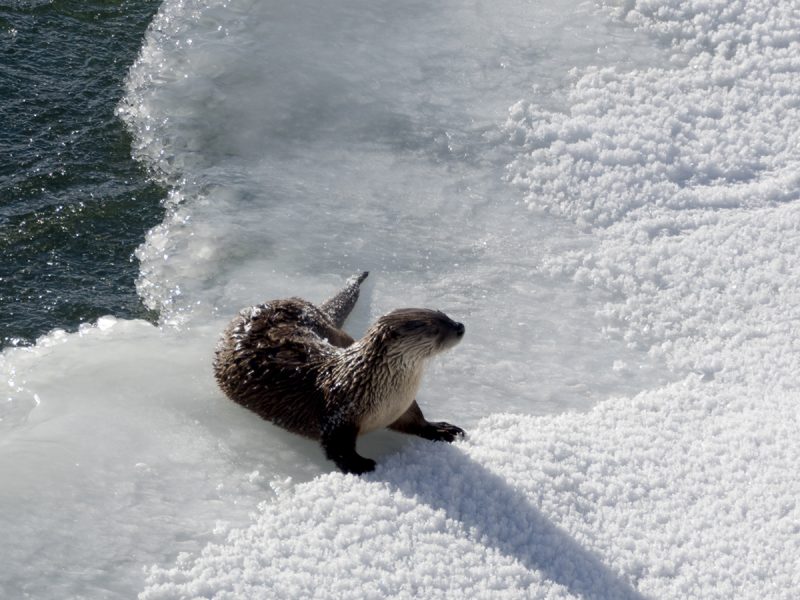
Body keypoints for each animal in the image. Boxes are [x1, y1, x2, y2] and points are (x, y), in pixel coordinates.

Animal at [213, 272, 465, 474]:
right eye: (434, 330)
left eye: (445, 315)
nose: (460, 327)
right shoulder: (337, 415)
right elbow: (337, 447)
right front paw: (360, 465)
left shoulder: (403, 407)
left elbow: (416, 421)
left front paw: (440, 429)